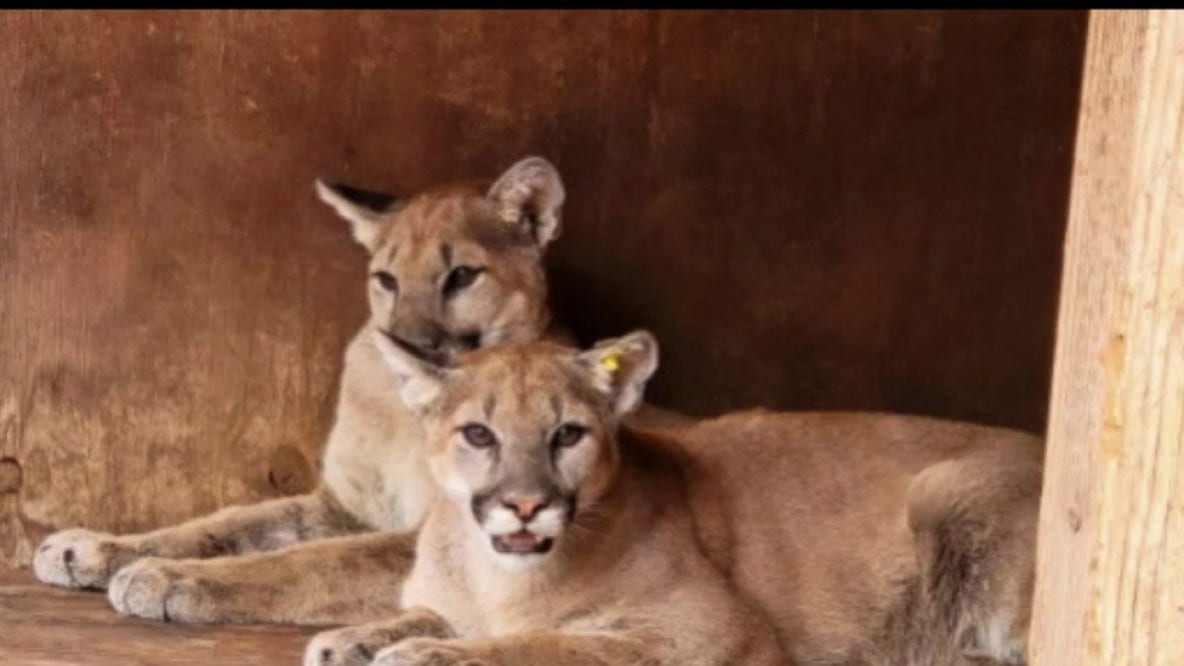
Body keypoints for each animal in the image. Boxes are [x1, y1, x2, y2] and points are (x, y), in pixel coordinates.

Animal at [32, 156, 568, 626]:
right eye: (386, 280)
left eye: (462, 275)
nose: (406, 344)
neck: (405, 414)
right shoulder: (347, 506)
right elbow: (229, 522)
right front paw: (97, 548)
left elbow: (312, 560)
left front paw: (170, 577)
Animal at [305, 331, 1041, 665]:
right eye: (478, 434)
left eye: (567, 433)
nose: (524, 504)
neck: (496, 577)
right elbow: (426, 613)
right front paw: (352, 639)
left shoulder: (709, 628)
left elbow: (553, 643)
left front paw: (426, 654)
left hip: (947, 493)